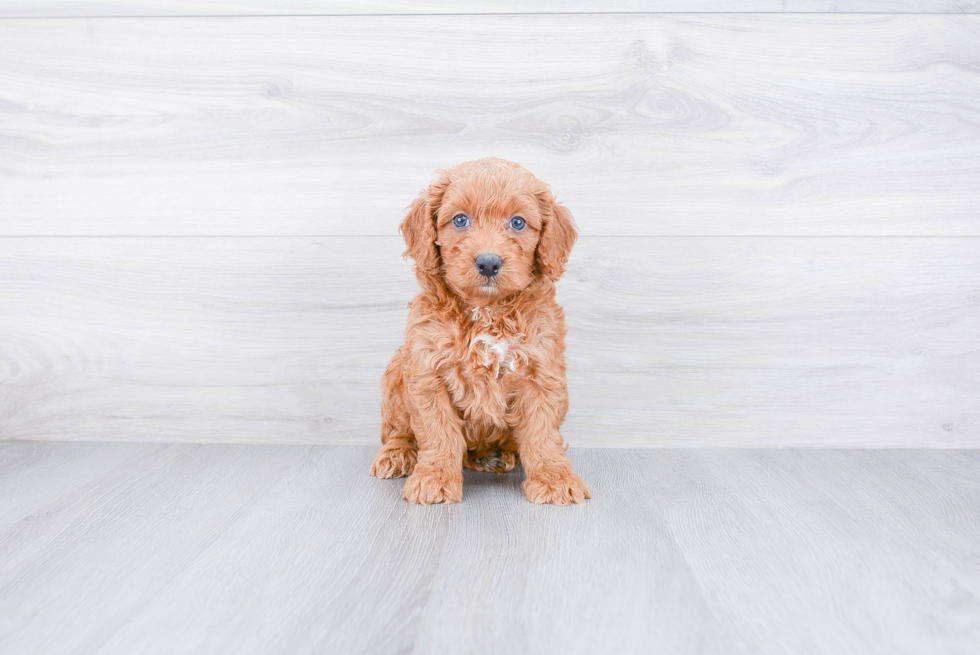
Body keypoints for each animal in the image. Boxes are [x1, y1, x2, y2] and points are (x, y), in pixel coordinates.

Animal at [372, 159, 588, 508]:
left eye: (518, 222)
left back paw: (493, 456)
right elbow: (438, 431)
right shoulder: (427, 370)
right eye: (460, 220)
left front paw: (555, 479)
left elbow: (542, 433)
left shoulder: (540, 371)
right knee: (397, 430)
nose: (488, 263)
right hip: (397, 368)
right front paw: (435, 478)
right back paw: (398, 453)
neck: (487, 312)